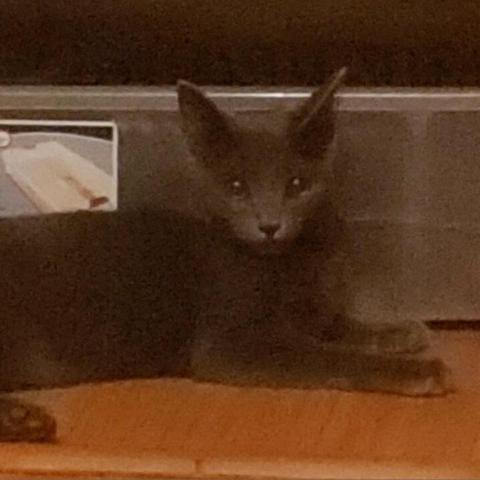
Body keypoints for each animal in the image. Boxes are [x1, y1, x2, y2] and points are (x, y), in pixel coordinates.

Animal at [0, 68, 452, 443]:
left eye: (296, 184)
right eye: (236, 186)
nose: (269, 224)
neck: (288, 263)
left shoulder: (313, 308)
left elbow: (336, 324)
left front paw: (399, 331)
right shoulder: (228, 341)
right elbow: (324, 356)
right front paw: (421, 370)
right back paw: (29, 420)